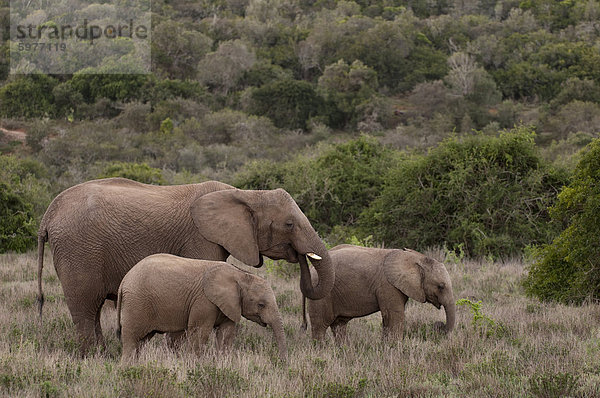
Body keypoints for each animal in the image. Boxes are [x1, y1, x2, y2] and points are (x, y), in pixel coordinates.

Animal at [118, 255, 288, 360]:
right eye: (261, 304)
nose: (281, 362)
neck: (240, 274)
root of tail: (124, 281)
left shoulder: (230, 304)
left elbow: (226, 334)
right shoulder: (204, 302)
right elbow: (200, 333)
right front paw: (194, 365)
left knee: (141, 341)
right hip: (136, 302)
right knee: (132, 340)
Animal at [300, 246, 454, 342]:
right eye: (441, 286)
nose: (439, 326)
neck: (416, 258)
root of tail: (311, 269)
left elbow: (387, 319)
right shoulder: (388, 285)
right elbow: (394, 316)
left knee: (339, 325)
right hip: (321, 295)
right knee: (320, 326)